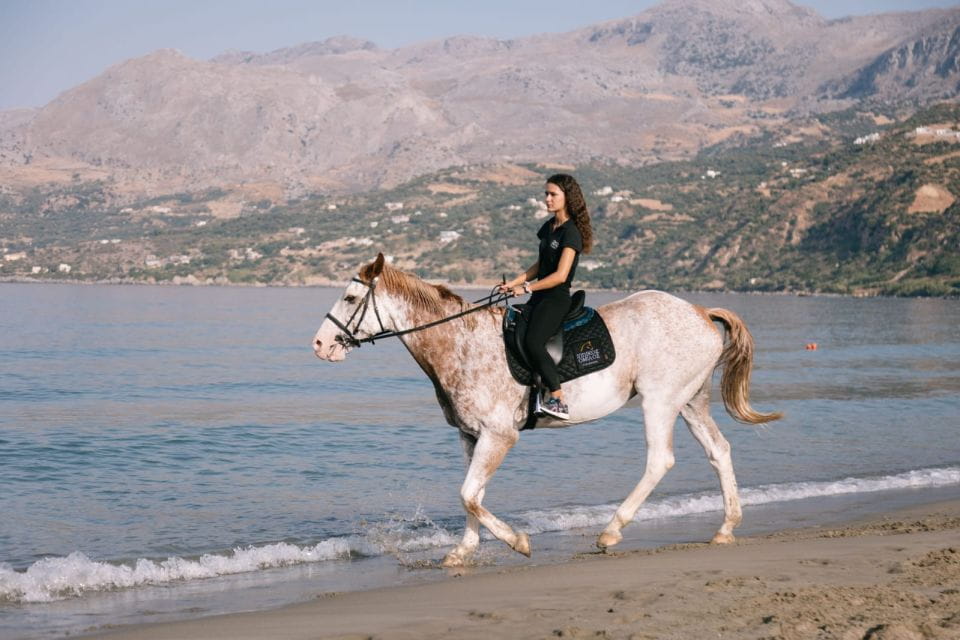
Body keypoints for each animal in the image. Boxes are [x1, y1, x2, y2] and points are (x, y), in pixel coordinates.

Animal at [313, 253, 781, 567]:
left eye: (351, 297)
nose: (319, 345)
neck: (461, 343)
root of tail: (700, 311)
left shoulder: (500, 435)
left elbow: (468, 494)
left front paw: (518, 542)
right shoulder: (471, 436)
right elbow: (471, 496)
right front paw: (463, 551)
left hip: (661, 400)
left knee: (659, 460)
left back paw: (611, 531)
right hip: (690, 400)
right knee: (719, 451)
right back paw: (726, 528)